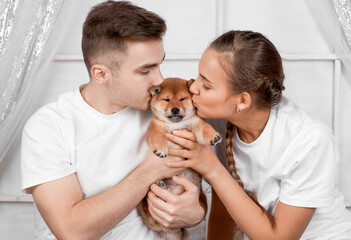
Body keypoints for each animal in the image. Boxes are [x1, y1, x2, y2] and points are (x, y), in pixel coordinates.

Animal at [138, 78, 223, 240]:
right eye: (167, 100)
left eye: (182, 99)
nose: (175, 109)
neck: (176, 124)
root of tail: (169, 230)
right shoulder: (155, 127)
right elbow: (158, 137)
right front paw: (161, 150)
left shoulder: (196, 124)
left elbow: (205, 128)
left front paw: (213, 136)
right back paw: (160, 187)